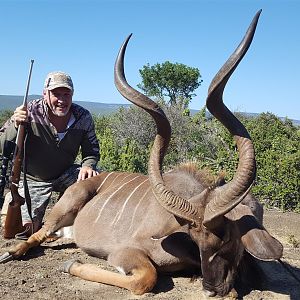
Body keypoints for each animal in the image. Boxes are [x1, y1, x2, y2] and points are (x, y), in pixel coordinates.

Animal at [0, 9, 282, 298]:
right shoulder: (124, 253)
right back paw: (13, 252)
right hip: (66, 205)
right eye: (195, 237)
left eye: (227, 236)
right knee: (38, 233)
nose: (211, 289)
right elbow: (145, 278)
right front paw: (71, 264)